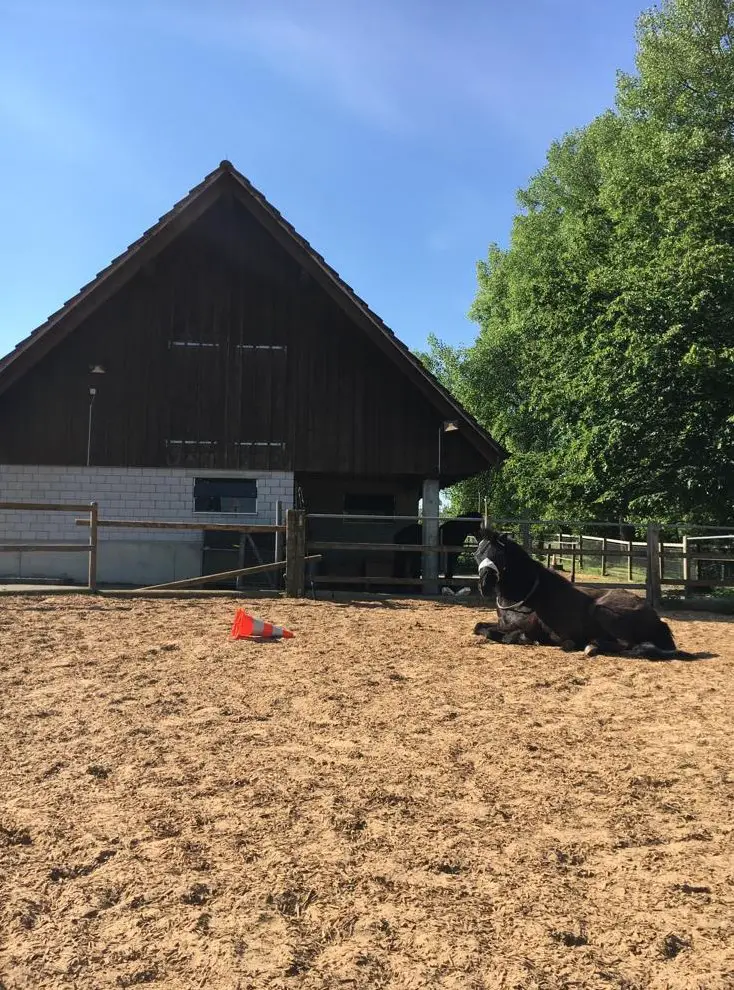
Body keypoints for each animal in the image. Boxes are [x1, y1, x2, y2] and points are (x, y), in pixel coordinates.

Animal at [472, 528, 694, 660]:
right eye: (477, 554)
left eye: (499, 555)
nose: (485, 585)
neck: (525, 596)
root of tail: (656, 617)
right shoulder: (501, 623)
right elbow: (479, 627)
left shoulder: (528, 627)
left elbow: (500, 634)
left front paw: (522, 638)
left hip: (602, 611)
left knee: (628, 644)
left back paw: (592, 646)